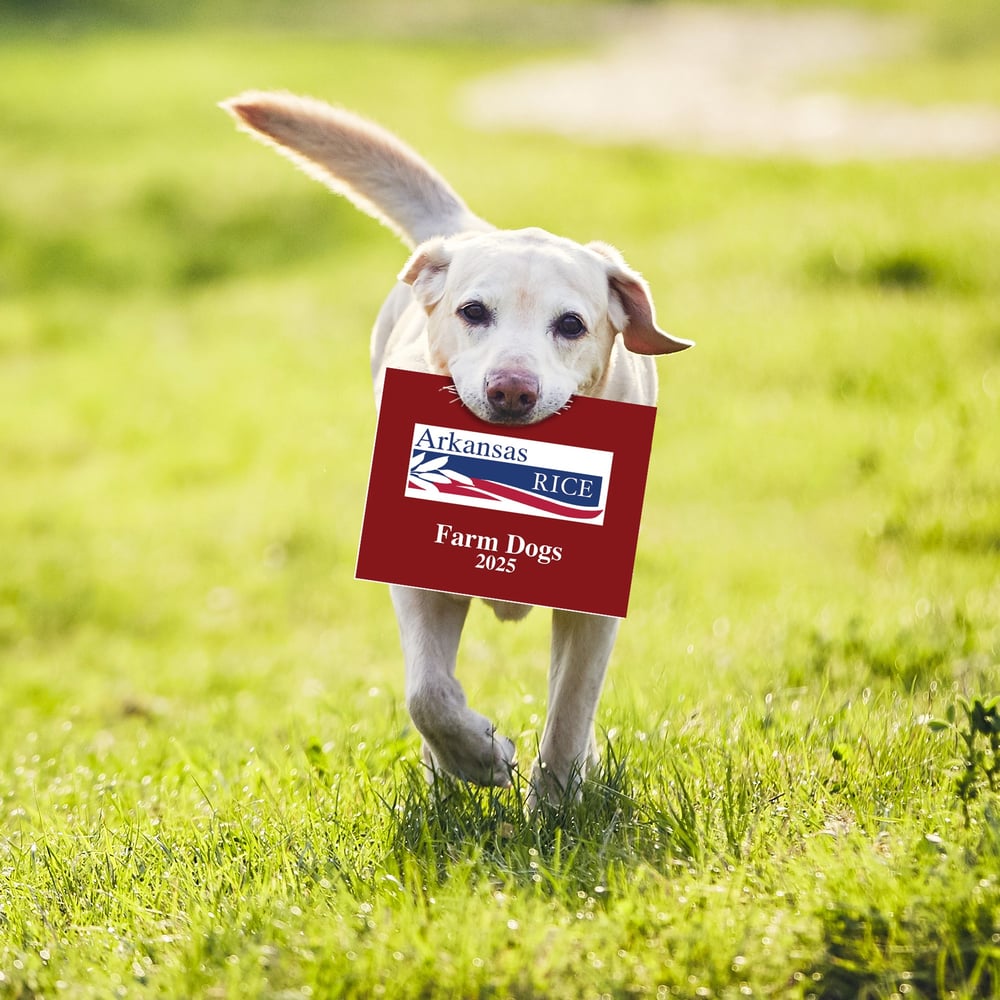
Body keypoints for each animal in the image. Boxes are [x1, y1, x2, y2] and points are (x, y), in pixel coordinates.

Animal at [222, 94, 692, 808]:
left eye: (572, 325)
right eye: (473, 312)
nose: (511, 390)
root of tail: (469, 228)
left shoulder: (590, 610)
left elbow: (569, 707)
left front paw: (554, 808)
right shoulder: (416, 582)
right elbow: (429, 694)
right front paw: (476, 757)